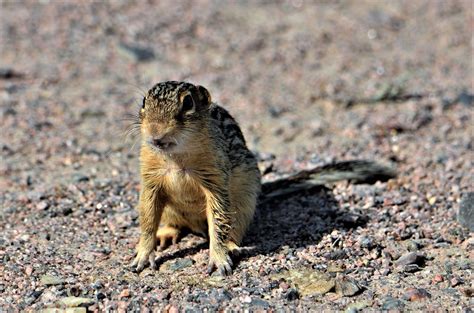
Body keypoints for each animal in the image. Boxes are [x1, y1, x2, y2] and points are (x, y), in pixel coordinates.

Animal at [131, 80, 396, 272]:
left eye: (187, 103)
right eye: (144, 101)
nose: (155, 133)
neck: (176, 158)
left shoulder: (216, 183)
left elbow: (218, 221)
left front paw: (219, 258)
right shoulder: (151, 184)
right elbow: (147, 221)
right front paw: (142, 255)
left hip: (245, 202)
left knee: (234, 227)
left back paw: (231, 246)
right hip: (172, 209)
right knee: (173, 222)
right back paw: (166, 234)